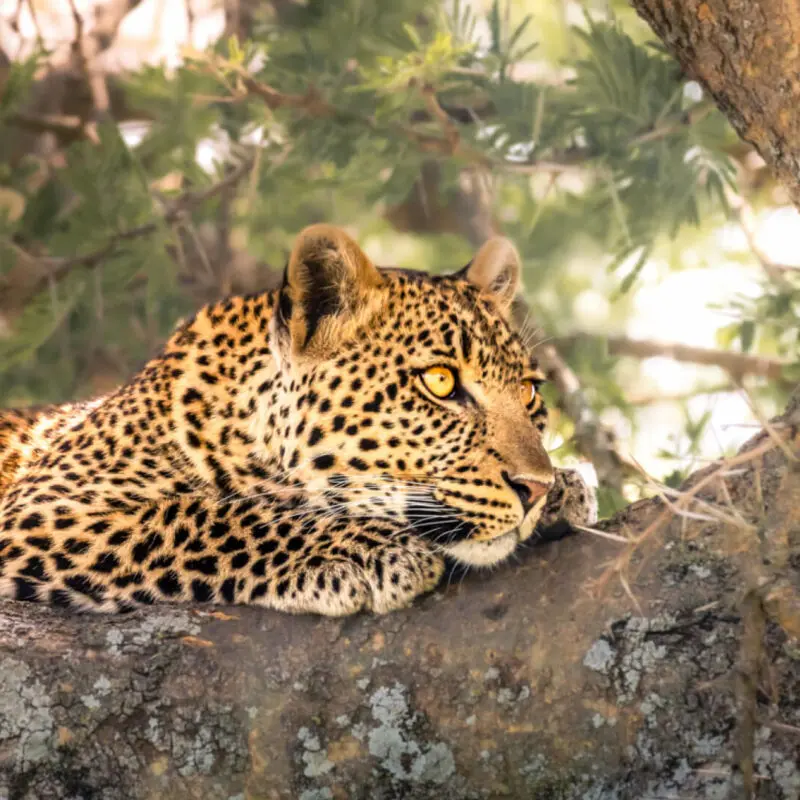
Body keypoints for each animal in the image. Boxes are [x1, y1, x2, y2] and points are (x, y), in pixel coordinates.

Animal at [0, 225, 597, 616]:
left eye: (528, 391)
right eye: (441, 382)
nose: (534, 488)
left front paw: (570, 486)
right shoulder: (47, 507)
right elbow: (204, 515)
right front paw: (366, 550)